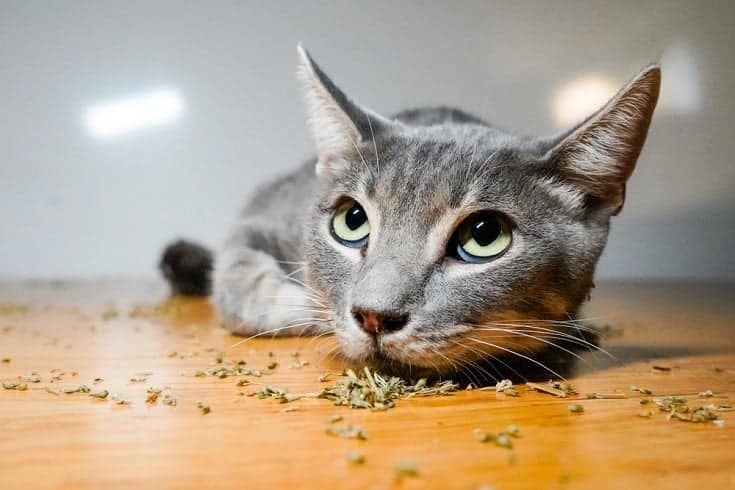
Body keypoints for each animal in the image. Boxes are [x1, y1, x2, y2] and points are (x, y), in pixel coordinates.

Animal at [164, 44, 664, 378]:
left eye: (484, 236)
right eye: (352, 221)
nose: (372, 316)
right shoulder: (261, 215)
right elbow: (242, 277)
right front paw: (308, 309)